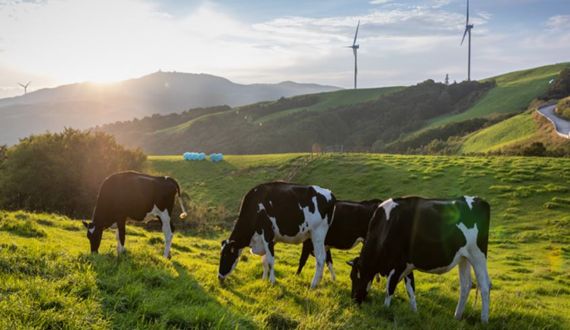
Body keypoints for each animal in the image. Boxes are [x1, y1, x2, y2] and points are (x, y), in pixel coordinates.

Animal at [346, 196, 488, 322]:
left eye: (357, 277)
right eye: (351, 277)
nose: (354, 300)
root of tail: (479, 200)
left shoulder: (397, 265)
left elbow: (389, 290)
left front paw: (385, 310)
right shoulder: (407, 265)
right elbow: (411, 291)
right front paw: (414, 313)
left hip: (478, 255)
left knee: (485, 285)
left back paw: (484, 320)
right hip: (464, 257)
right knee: (466, 285)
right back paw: (457, 317)